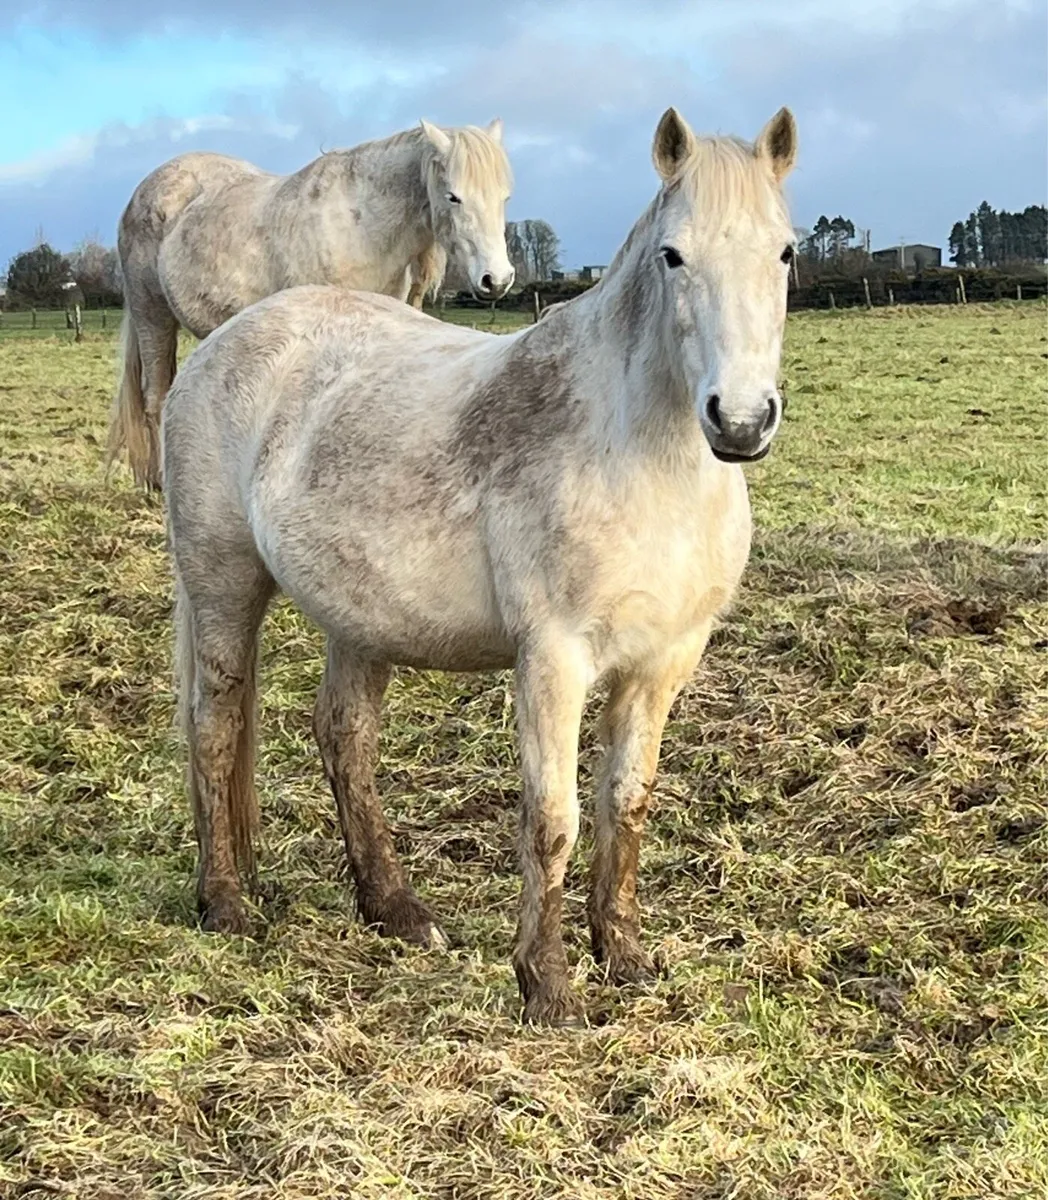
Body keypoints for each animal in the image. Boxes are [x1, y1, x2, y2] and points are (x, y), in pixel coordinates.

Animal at [108, 119, 514, 491]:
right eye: (453, 196)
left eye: (504, 197)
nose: (496, 279)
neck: (359, 227)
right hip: (152, 316)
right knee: (155, 398)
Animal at [162, 105, 798, 1025]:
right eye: (672, 256)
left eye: (784, 253)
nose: (740, 421)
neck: (638, 451)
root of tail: (218, 348)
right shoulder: (554, 658)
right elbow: (552, 818)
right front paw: (549, 989)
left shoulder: (664, 661)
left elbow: (627, 802)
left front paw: (625, 957)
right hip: (221, 586)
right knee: (215, 726)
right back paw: (227, 904)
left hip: (361, 620)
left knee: (344, 739)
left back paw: (394, 909)